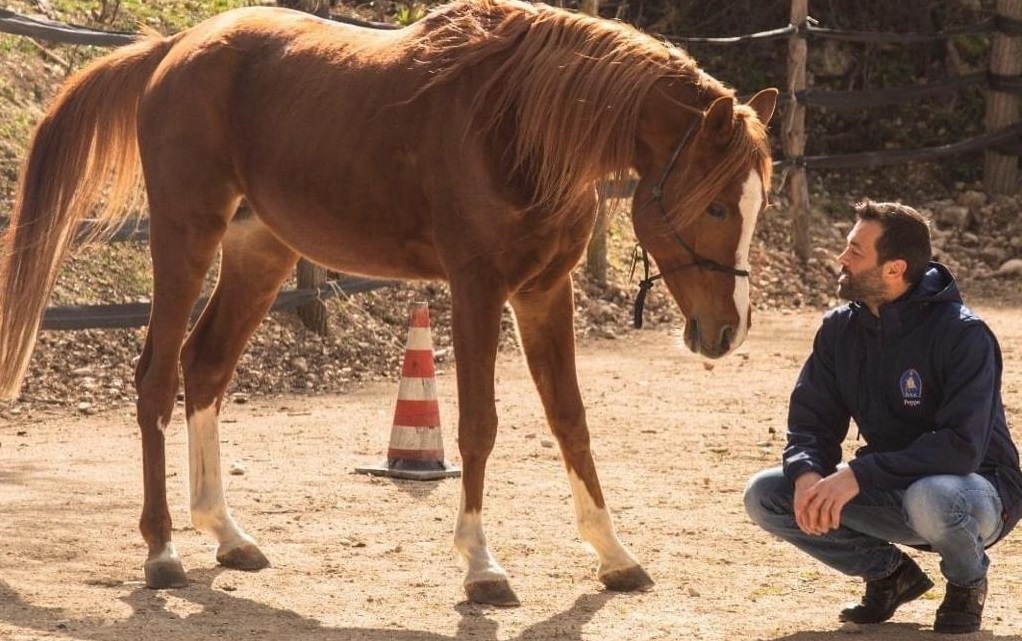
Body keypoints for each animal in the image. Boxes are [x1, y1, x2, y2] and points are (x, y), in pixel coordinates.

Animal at [0, 0, 776, 606]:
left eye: (754, 206)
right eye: (714, 206)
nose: (727, 331)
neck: (516, 122)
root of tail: (173, 49)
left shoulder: (544, 292)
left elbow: (571, 421)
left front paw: (613, 553)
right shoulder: (477, 289)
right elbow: (478, 426)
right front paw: (482, 566)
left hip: (260, 252)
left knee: (207, 366)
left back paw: (227, 533)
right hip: (184, 236)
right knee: (157, 378)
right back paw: (162, 551)